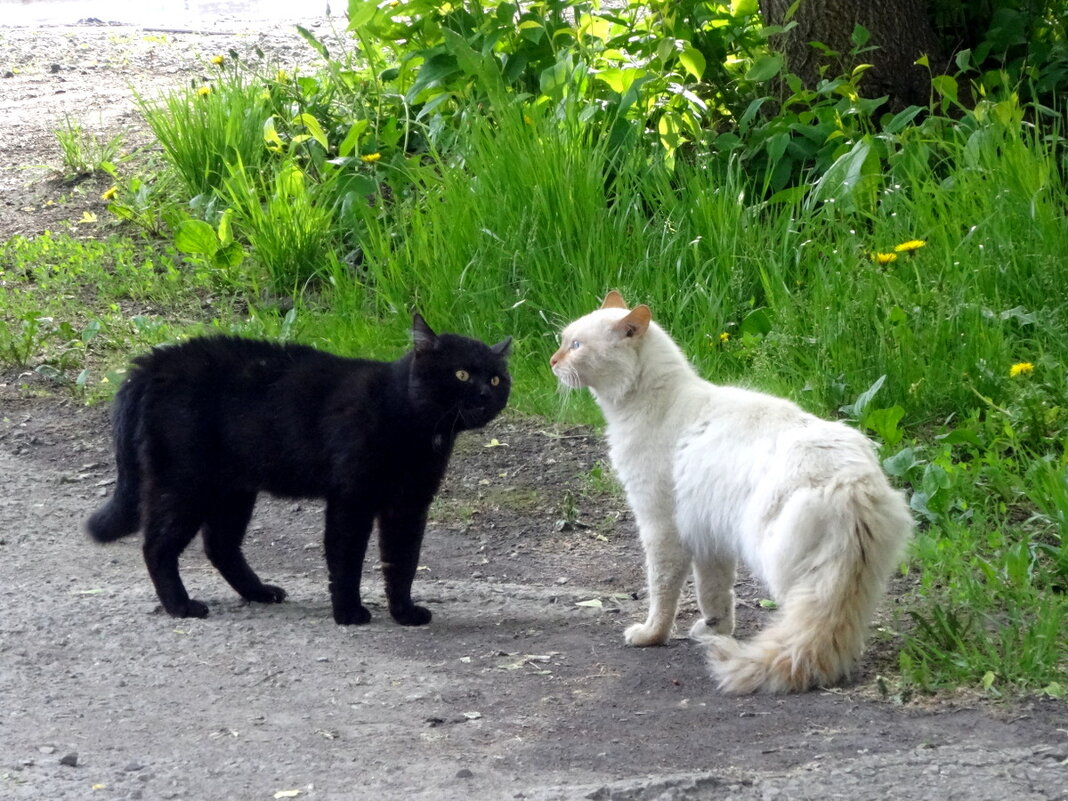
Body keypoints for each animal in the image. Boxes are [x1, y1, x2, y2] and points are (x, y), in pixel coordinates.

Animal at [85, 316, 510, 627]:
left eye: (495, 378)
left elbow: (402, 562)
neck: (414, 424)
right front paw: (348, 613)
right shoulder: (351, 499)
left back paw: (259, 593)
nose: (486, 393)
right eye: (461, 374)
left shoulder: (408, 505)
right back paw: (182, 607)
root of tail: (153, 364)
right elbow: (346, 559)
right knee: (157, 546)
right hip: (184, 482)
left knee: (219, 545)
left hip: (233, 489)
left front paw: (404, 613)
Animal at [555, 292, 914, 692]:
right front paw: (715, 631)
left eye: (576, 346)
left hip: (780, 562)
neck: (651, 401)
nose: (553, 361)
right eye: (562, 341)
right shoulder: (710, 538)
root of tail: (851, 484)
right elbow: (714, 594)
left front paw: (651, 636)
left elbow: (662, 593)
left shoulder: (661, 528)